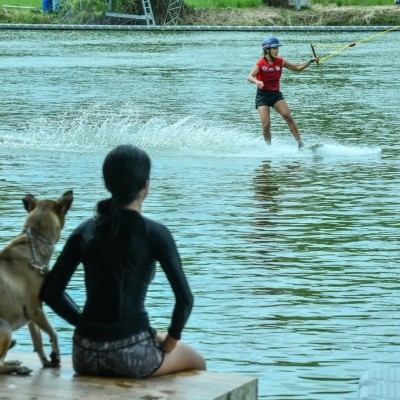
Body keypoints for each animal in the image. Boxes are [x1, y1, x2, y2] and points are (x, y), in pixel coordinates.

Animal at [0, 191, 73, 376]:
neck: (34, 239)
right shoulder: (36, 309)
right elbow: (53, 333)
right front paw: (56, 357)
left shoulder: (31, 316)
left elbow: (38, 341)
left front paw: (47, 361)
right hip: (5, 327)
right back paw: (17, 368)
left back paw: (13, 363)